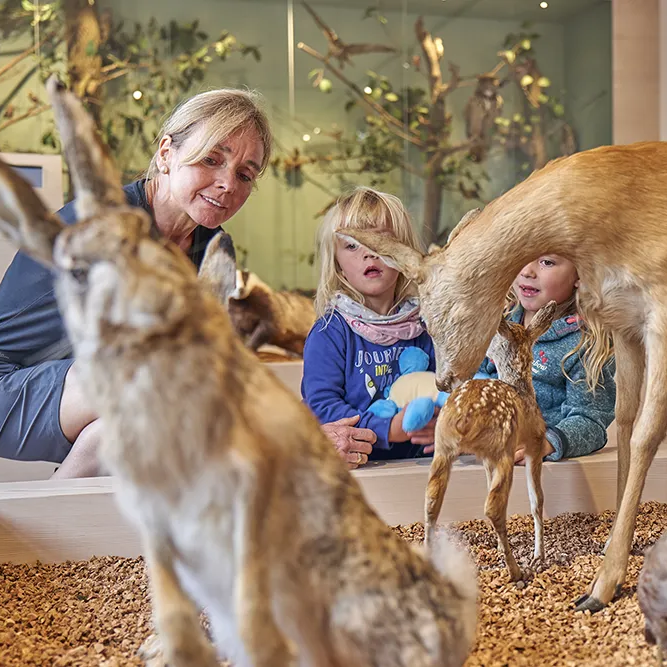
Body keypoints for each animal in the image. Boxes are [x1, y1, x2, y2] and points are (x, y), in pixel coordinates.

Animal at [0, 76, 478, 667]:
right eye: (76, 271)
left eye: (148, 244)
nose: (156, 300)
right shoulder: (152, 512)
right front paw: (173, 644)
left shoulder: (248, 482)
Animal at [425, 301, 556, 583]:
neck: (522, 388)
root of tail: (463, 418)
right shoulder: (535, 443)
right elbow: (537, 500)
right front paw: (539, 555)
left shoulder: (485, 459)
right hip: (503, 445)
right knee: (494, 507)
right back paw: (516, 571)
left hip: (443, 448)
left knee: (431, 501)